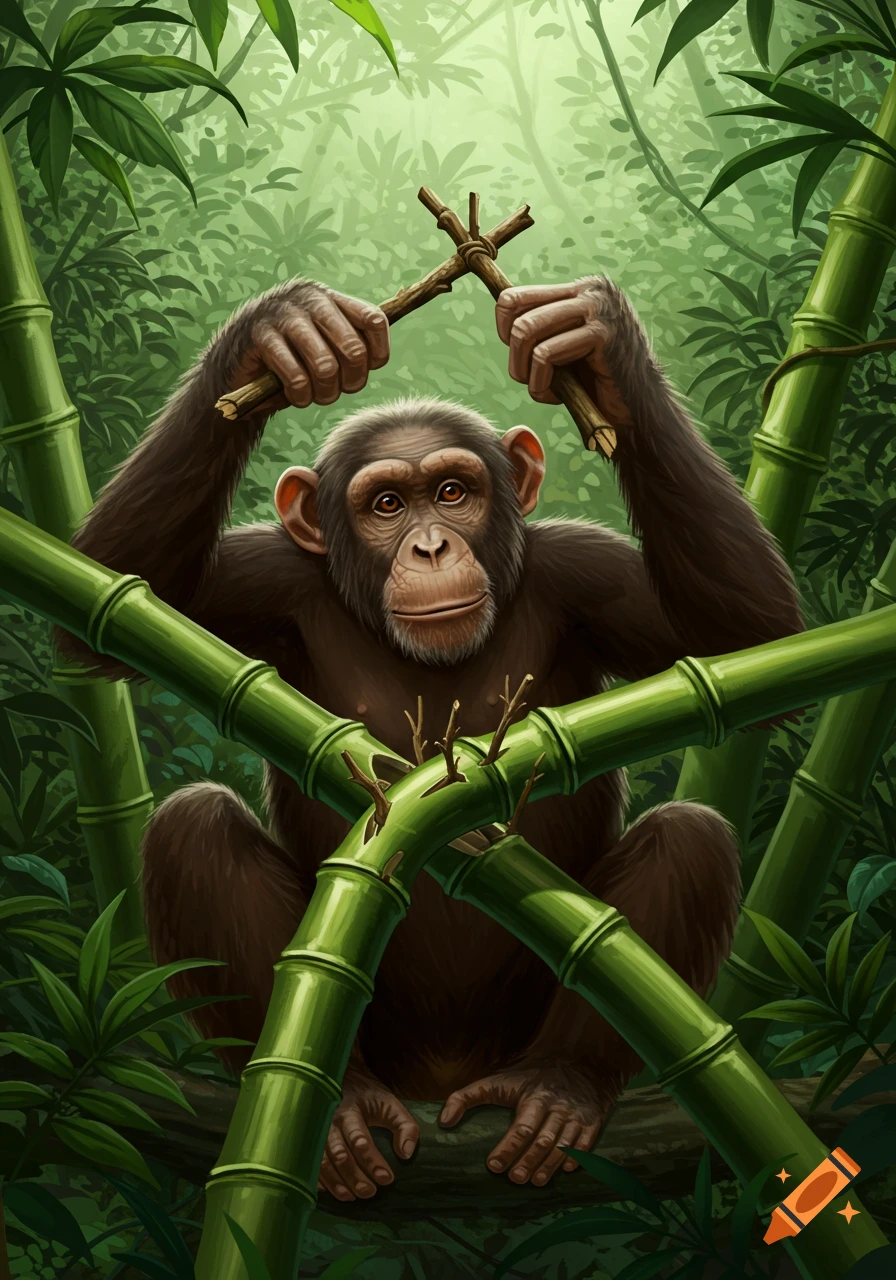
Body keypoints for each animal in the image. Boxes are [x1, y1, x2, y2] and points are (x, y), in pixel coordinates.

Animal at [57, 276, 804, 1203]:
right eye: (386, 504)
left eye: (452, 492)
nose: (430, 544)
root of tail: (441, 1080)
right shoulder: (262, 580)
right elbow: (103, 605)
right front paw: (283, 336)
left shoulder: (589, 570)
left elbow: (750, 647)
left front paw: (590, 344)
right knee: (193, 826)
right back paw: (342, 1105)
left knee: (689, 835)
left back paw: (558, 1086)